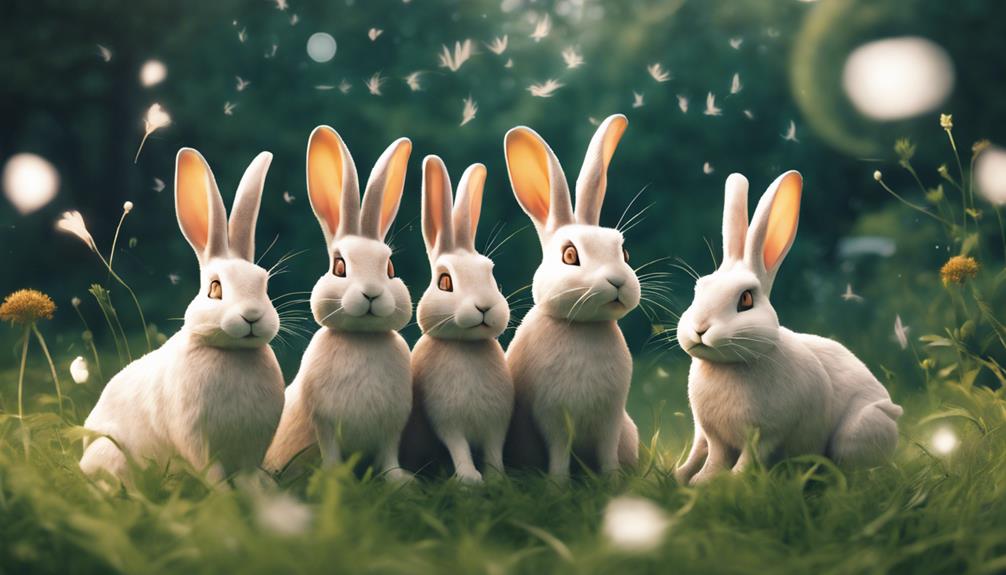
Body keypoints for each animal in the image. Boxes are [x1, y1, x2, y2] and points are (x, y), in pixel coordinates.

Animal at [80, 149, 285, 486]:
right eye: (215, 288)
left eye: (264, 284)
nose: (252, 316)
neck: (232, 352)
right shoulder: (194, 437)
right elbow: (211, 473)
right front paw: (223, 495)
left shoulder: (251, 449)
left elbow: (248, 476)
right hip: (111, 455)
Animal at [263, 126, 414, 481]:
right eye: (340, 267)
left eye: (390, 268)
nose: (371, 293)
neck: (362, 338)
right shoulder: (324, 422)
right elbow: (330, 450)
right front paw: (333, 479)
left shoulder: (393, 426)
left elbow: (389, 454)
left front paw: (399, 481)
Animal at [403, 156, 513, 483]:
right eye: (445, 281)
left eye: (492, 275)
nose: (484, 307)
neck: (465, 345)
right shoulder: (447, 422)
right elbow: (459, 447)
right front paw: (469, 480)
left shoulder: (495, 423)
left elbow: (493, 450)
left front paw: (499, 479)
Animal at [502, 114, 641, 481]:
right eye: (569, 255)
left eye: (624, 252)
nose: (618, 281)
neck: (582, 326)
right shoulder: (552, 419)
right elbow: (559, 453)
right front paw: (558, 484)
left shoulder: (610, 419)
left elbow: (607, 453)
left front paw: (612, 481)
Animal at [674, 171, 903, 485]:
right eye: (699, 289)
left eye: (746, 299)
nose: (699, 329)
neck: (730, 366)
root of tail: (894, 412)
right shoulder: (714, 436)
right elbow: (715, 460)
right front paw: (700, 482)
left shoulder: (766, 434)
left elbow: (747, 460)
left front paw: (729, 482)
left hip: (858, 431)